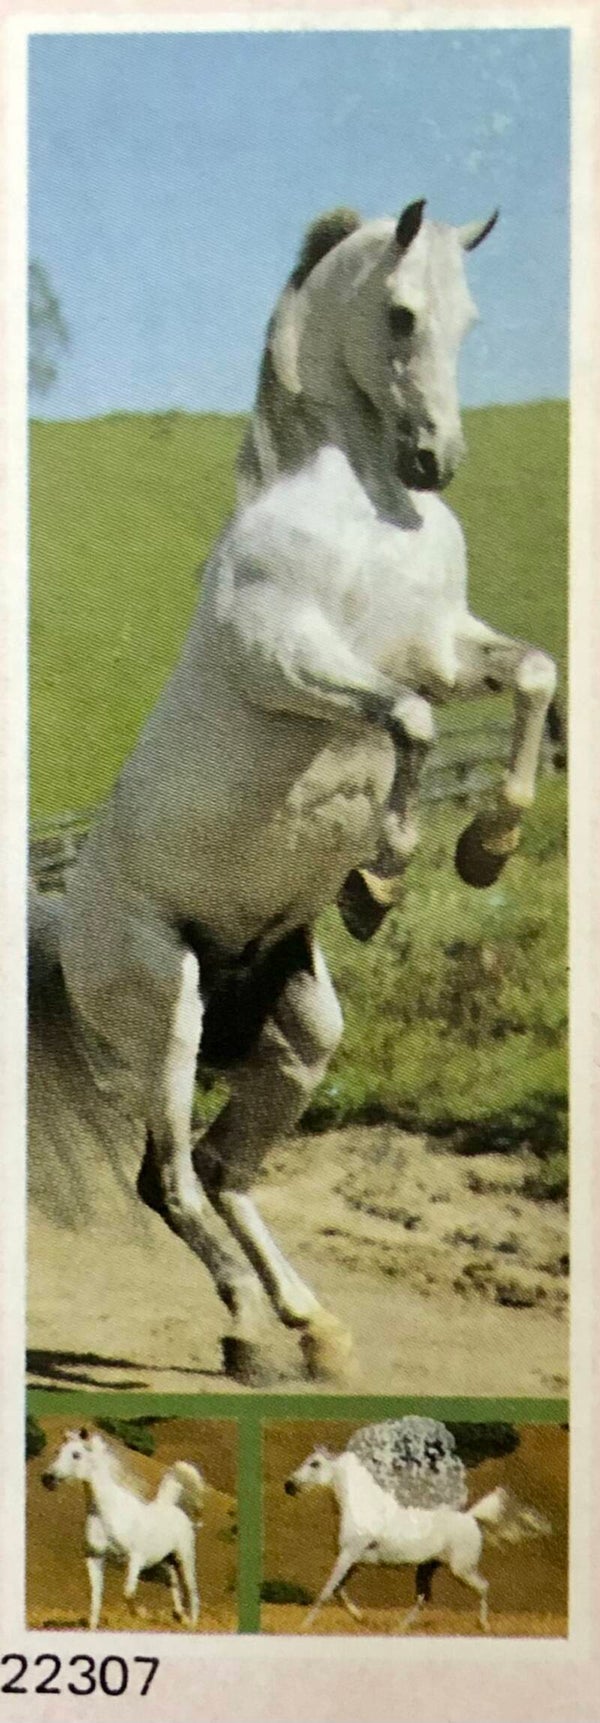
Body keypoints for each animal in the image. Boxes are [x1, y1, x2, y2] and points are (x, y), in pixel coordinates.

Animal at [36, 200, 558, 1389]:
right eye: (402, 312)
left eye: (471, 316)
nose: (437, 461)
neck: (365, 514)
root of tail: (66, 931)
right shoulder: (293, 661)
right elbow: (407, 724)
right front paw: (382, 878)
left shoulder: (445, 647)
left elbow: (535, 676)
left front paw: (486, 847)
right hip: (169, 1007)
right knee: (170, 1178)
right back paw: (245, 1333)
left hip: (301, 1030)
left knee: (223, 1166)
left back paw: (314, 1327)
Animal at [41, 1428, 203, 1629]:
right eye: (58, 1451)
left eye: (76, 1454)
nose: (47, 1479)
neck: (108, 1514)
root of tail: (172, 1507)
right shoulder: (94, 1558)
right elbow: (95, 1596)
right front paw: (93, 1626)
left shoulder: (135, 1559)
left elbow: (128, 1592)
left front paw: (140, 1614)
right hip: (166, 1561)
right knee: (174, 1584)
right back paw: (180, 1615)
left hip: (184, 1556)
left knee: (191, 1588)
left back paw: (192, 1623)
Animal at [284, 1445, 551, 1632]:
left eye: (314, 1463)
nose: (289, 1485)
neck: (364, 1510)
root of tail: (472, 1518)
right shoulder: (354, 1559)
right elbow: (339, 1589)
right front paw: (360, 1617)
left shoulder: (348, 1556)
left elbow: (327, 1590)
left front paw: (304, 1626)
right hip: (427, 1567)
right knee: (424, 1598)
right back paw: (400, 1628)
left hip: (461, 1569)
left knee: (483, 1586)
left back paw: (483, 1626)